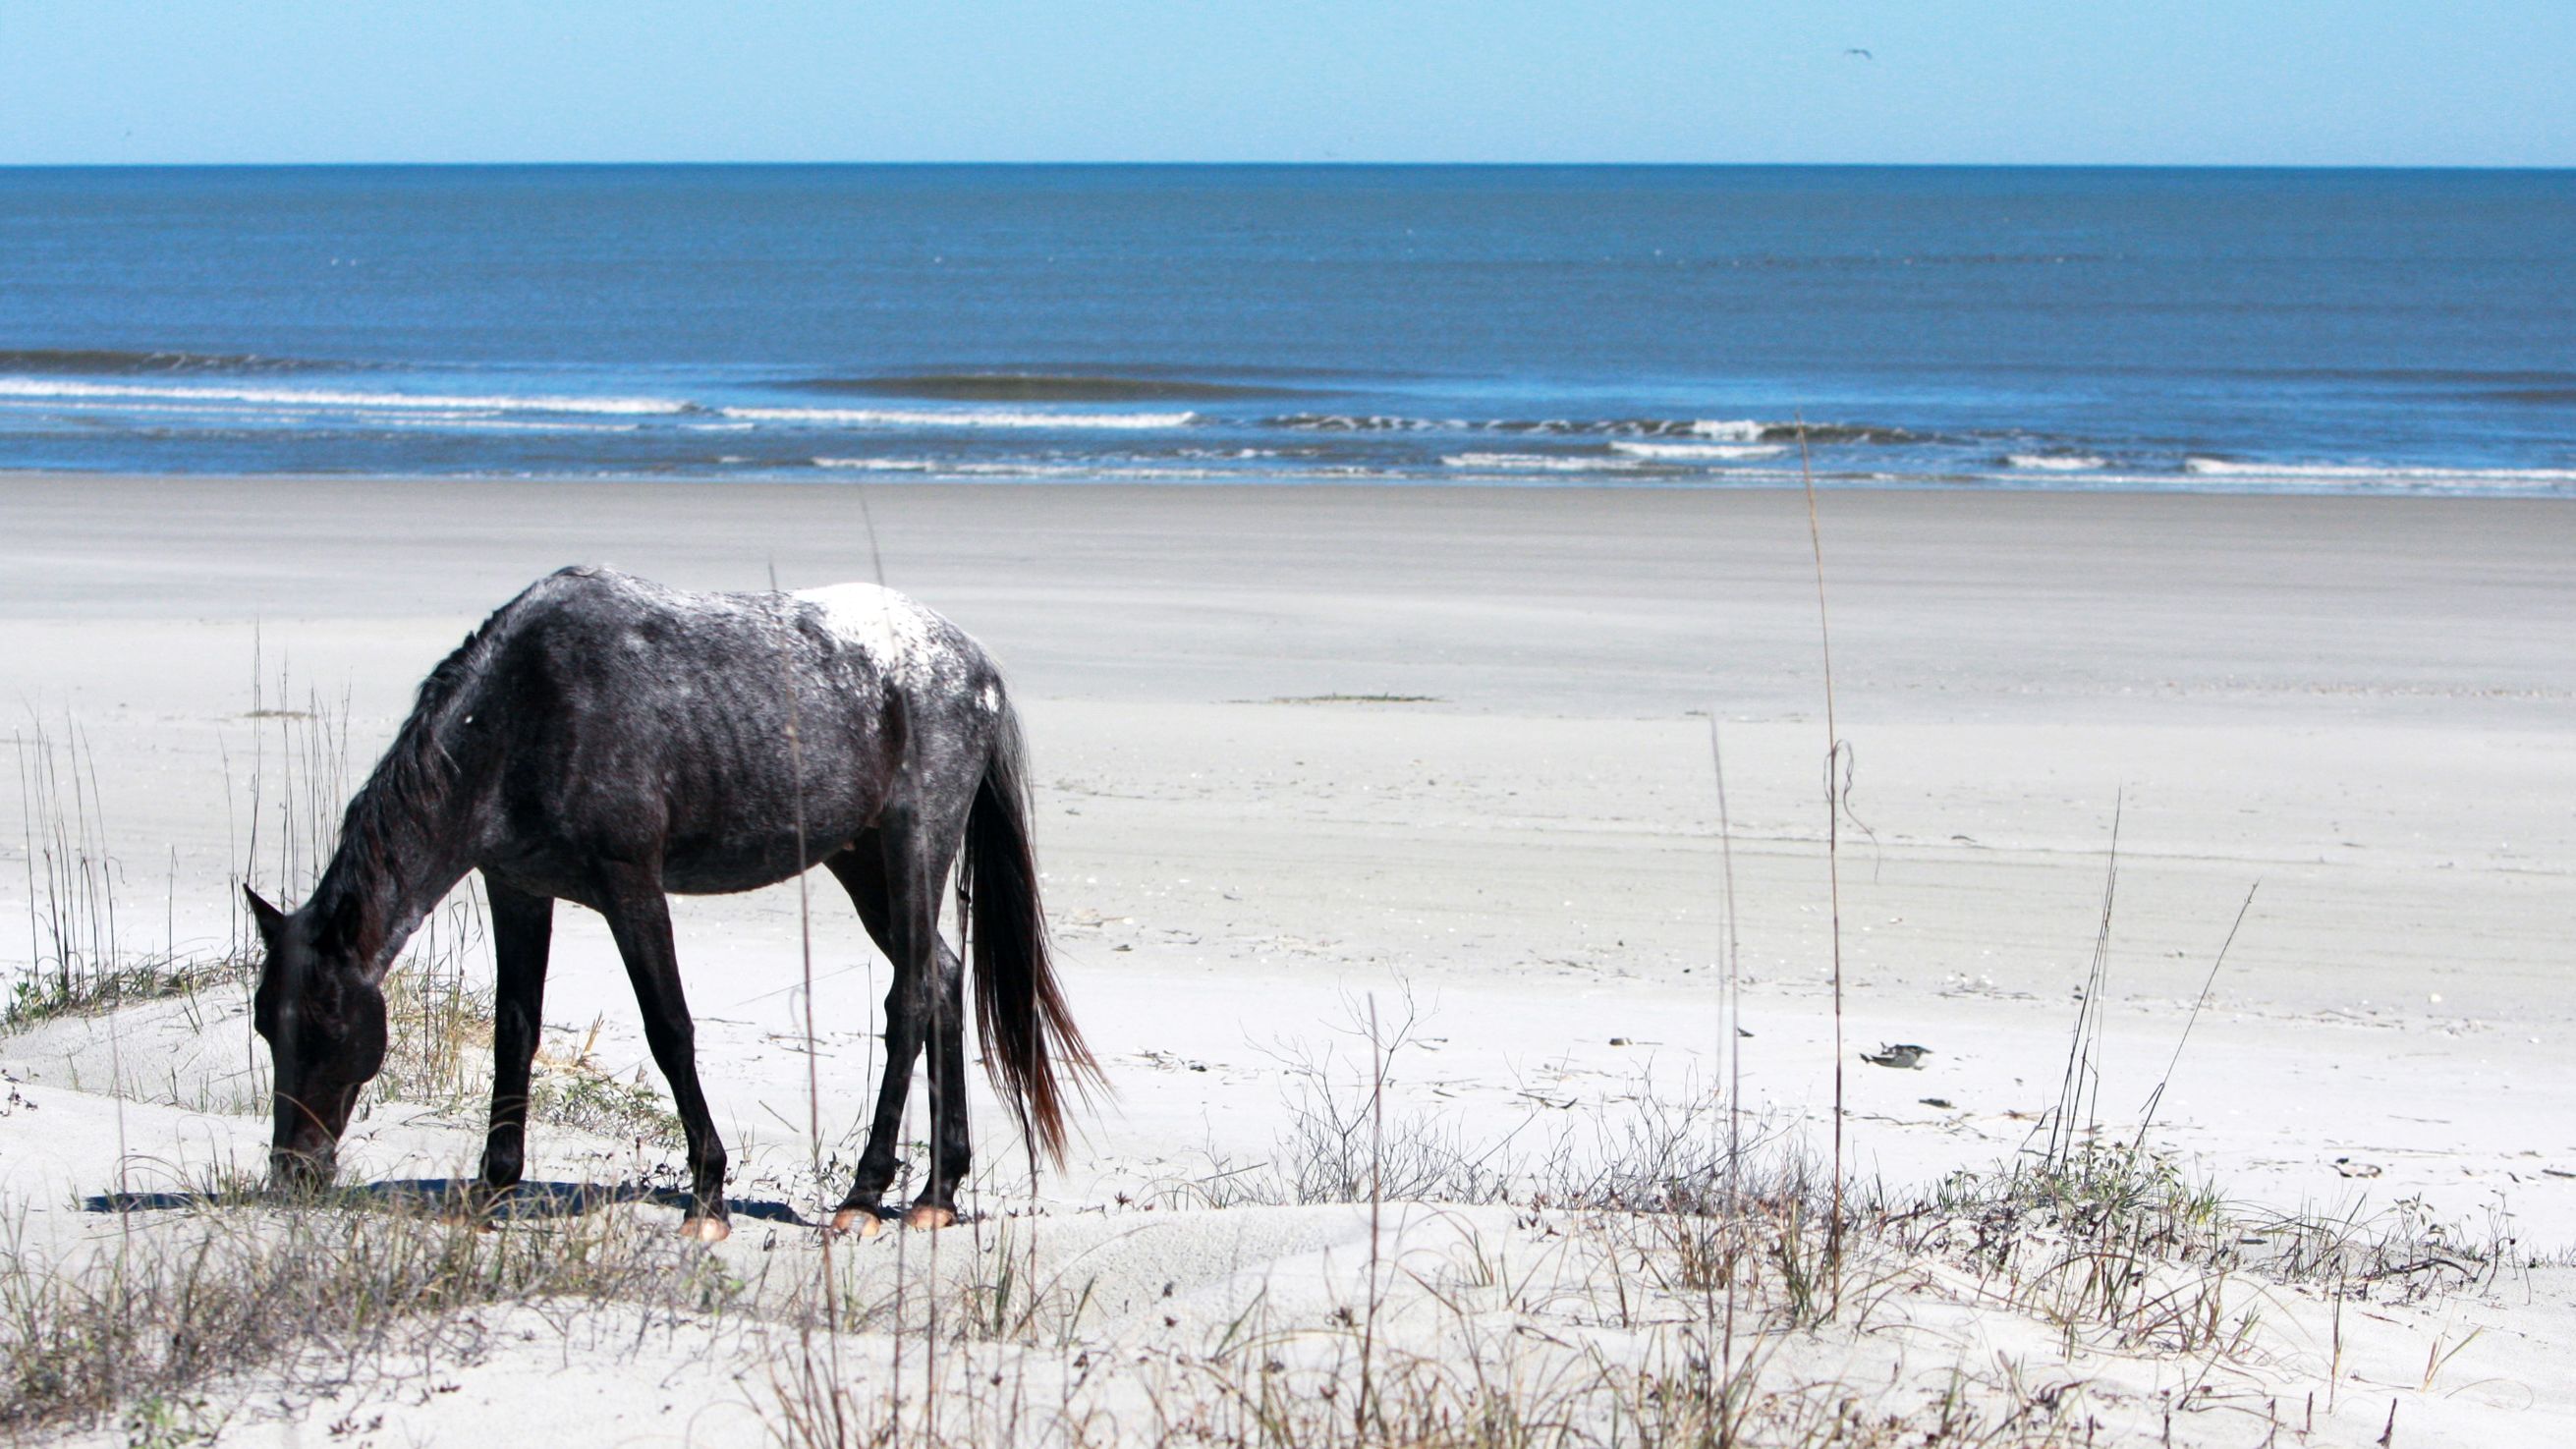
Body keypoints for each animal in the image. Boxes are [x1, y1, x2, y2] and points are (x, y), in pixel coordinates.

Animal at [237, 561, 1092, 1240]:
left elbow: (669, 1028)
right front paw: (495, 1186)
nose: (293, 1171)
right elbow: (517, 1030)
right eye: (265, 1023)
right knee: (941, 978)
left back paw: (864, 1192)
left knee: (910, 998)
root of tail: (974, 662)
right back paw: (936, 1192)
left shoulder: (632, 885)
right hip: (861, 861)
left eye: (326, 1023)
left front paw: (707, 1195)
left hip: (915, 843)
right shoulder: (517, 889)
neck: (523, 708)